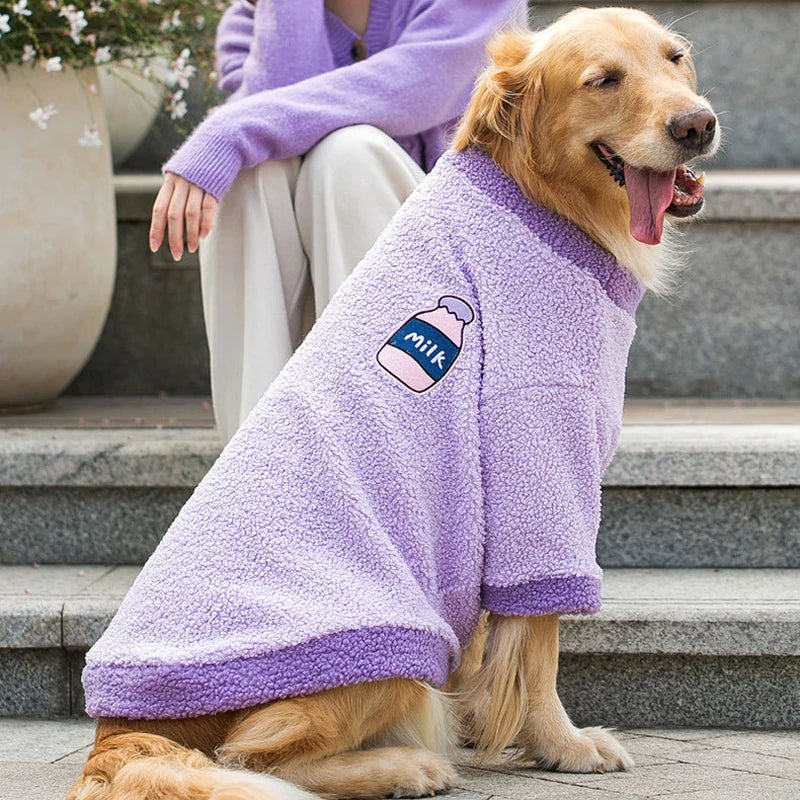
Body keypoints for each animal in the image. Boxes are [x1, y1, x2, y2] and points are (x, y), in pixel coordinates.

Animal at [69, 7, 720, 800]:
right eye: (603, 80)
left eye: (675, 58)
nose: (697, 124)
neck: (540, 199)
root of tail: (117, 731)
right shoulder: (538, 445)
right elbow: (537, 646)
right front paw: (561, 744)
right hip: (384, 647)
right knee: (256, 755)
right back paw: (407, 765)